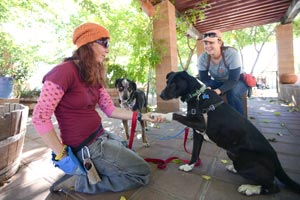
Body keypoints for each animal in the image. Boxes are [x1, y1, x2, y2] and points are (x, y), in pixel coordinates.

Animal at [159, 71, 300, 195]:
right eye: (167, 82)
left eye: (173, 84)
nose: (160, 95)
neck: (198, 96)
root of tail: (275, 158)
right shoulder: (198, 133)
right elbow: (195, 152)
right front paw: (189, 166)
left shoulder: (200, 124)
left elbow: (174, 115)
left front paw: (160, 115)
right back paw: (235, 170)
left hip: (240, 158)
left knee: (273, 186)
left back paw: (250, 188)